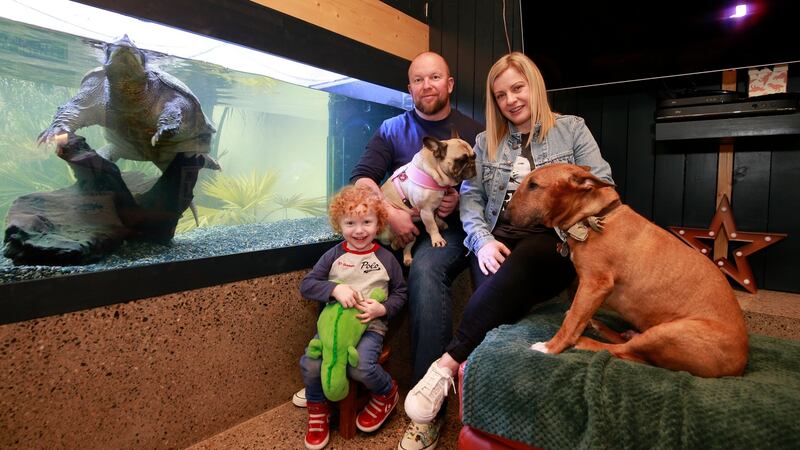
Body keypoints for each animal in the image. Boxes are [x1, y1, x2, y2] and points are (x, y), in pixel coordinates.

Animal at [380, 135, 476, 266]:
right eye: (461, 160)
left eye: (474, 156)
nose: (472, 164)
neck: (434, 172)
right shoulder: (426, 211)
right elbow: (432, 226)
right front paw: (437, 239)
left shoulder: (437, 205)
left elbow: (437, 216)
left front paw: (440, 222)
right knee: (392, 242)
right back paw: (396, 243)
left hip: (412, 234)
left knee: (407, 246)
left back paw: (407, 258)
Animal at [506, 163, 752, 378]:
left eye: (533, 185)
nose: (505, 216)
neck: (594, 217)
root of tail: (740, 367)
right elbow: (577, 315)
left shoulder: (595, 285)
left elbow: (572, 322)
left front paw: (552, 347)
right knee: (628, 345)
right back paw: (602, 327)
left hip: (668, 332)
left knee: (625, 352)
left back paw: (586, 341)